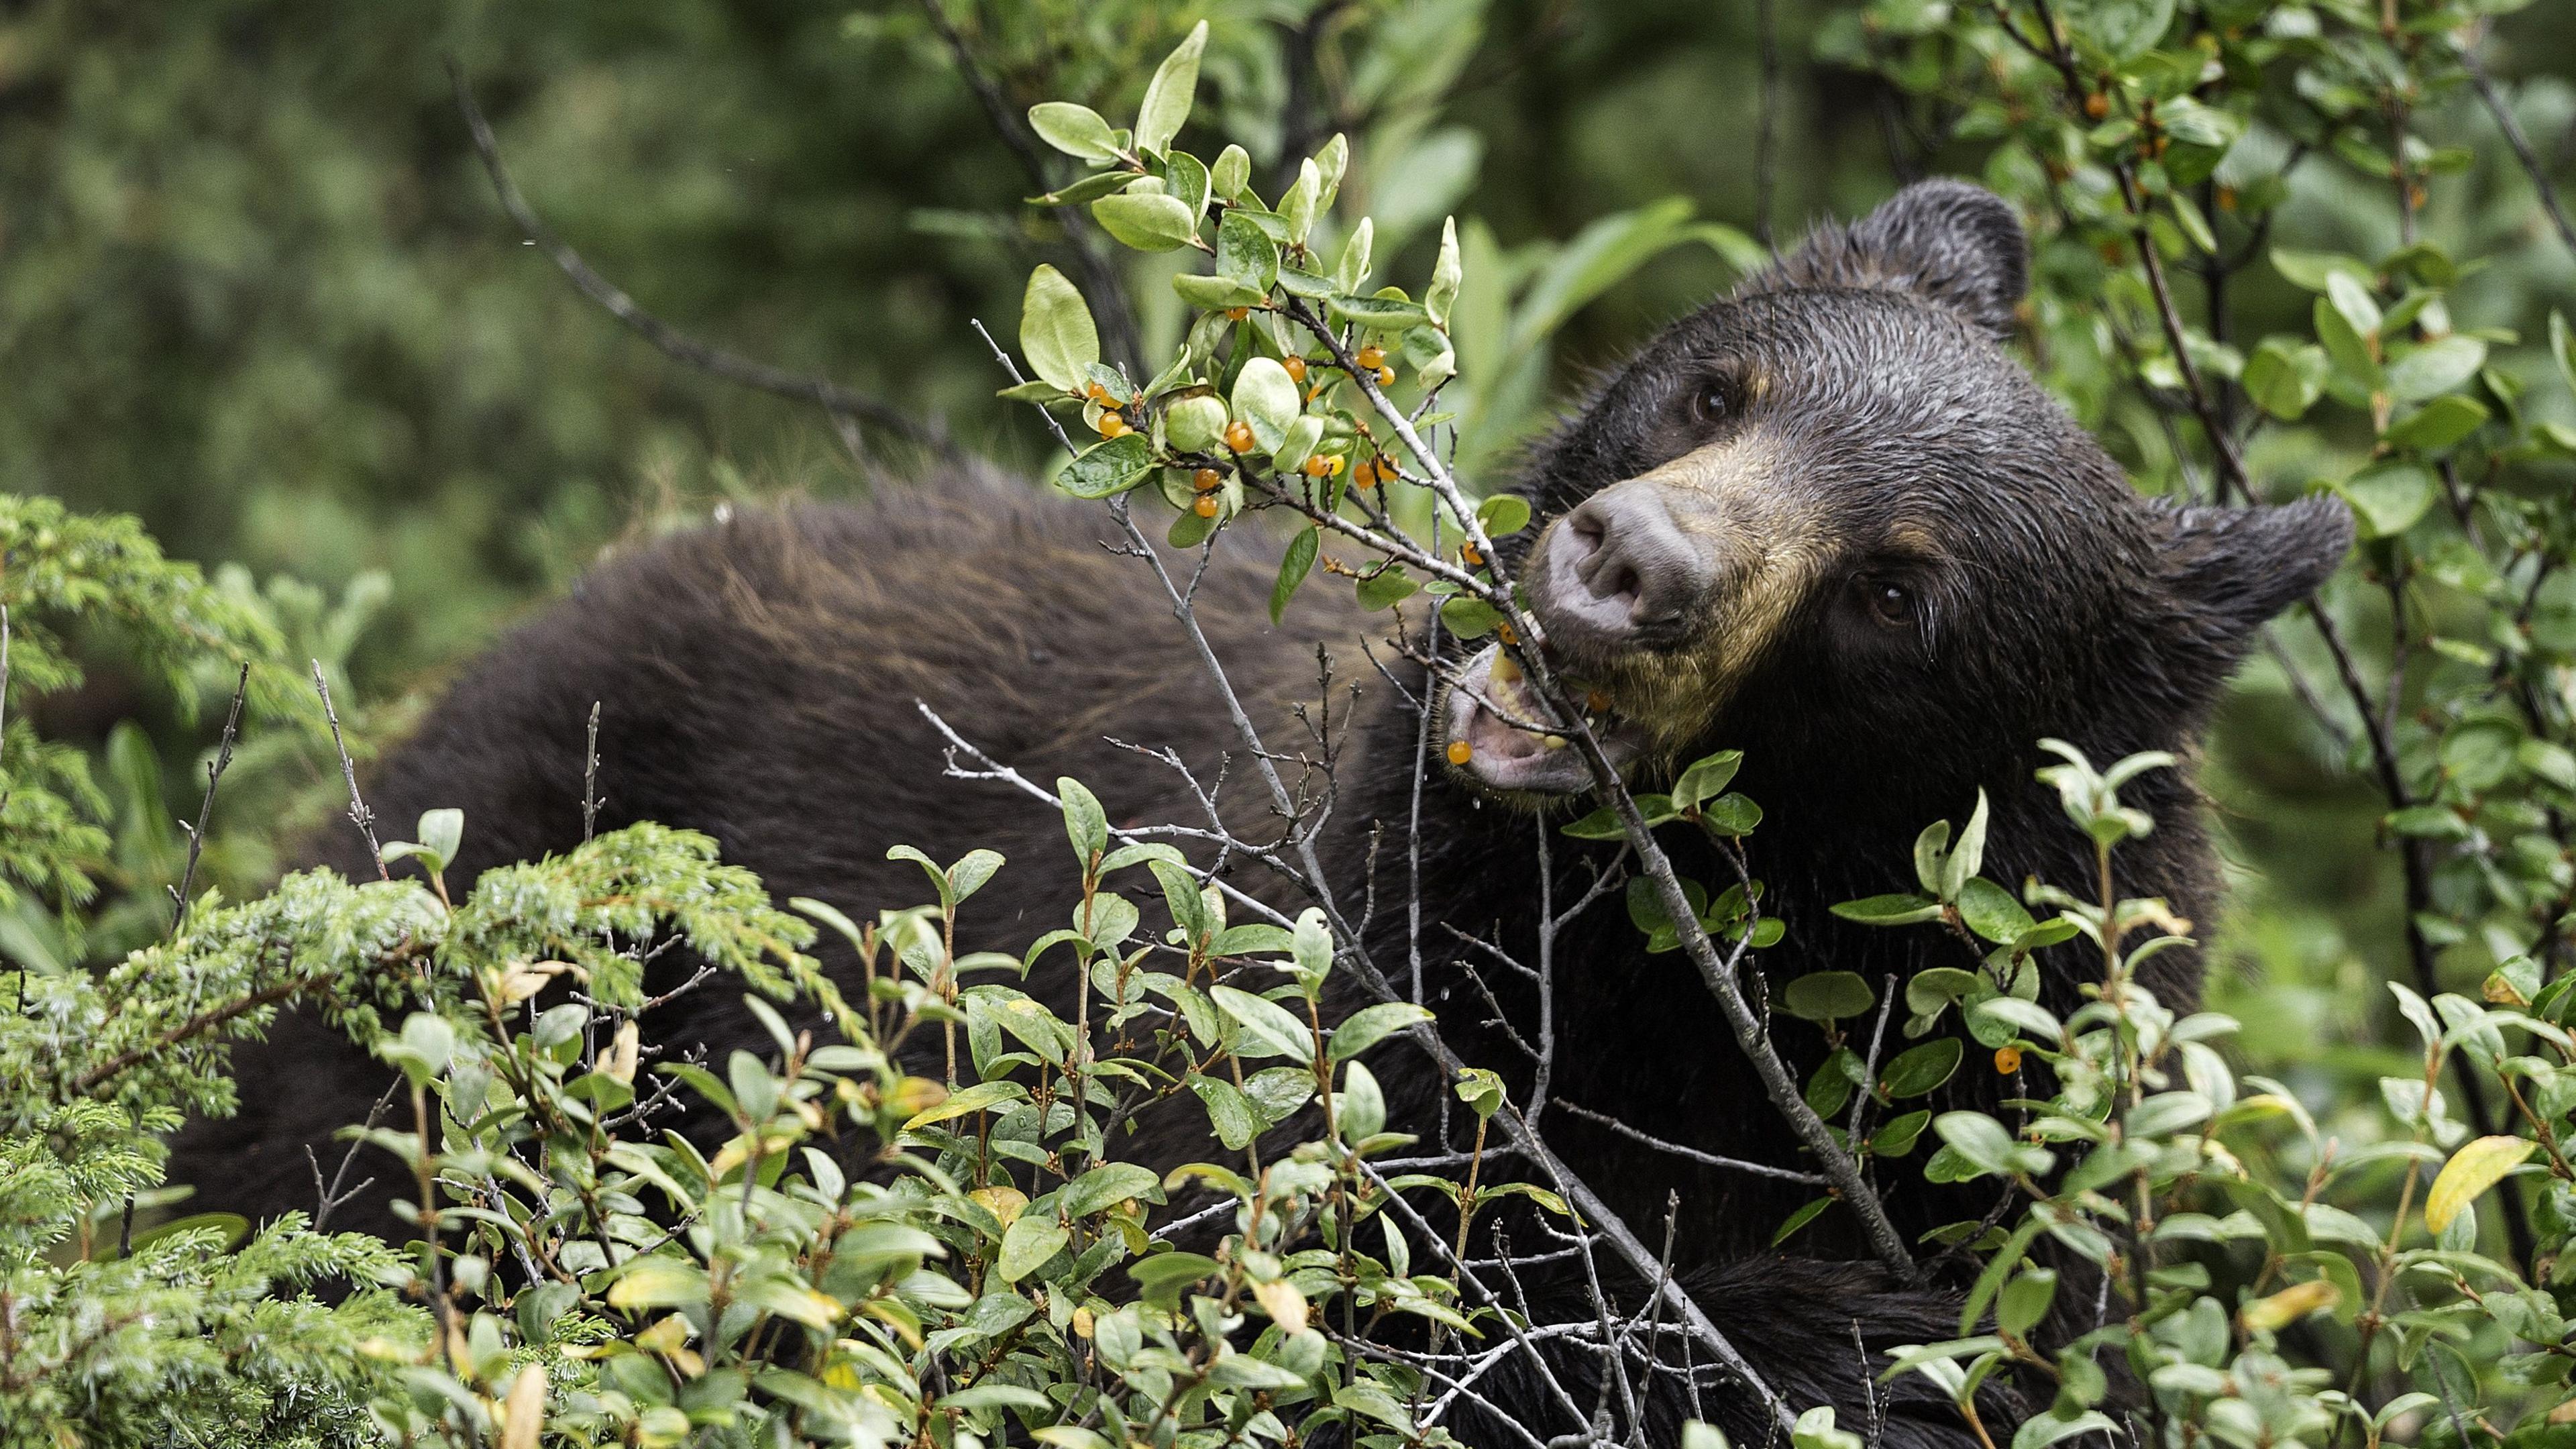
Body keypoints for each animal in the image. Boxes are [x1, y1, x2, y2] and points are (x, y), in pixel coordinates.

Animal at [169, 180, 2352, 1449]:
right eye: (1718, 387)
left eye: (1898, 590)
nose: (1618, 569)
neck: (1657, 979)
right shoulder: (1301, 991)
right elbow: (1291, 1266)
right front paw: (1808, 1335)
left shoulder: (2029, 1139)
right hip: (508, 915)